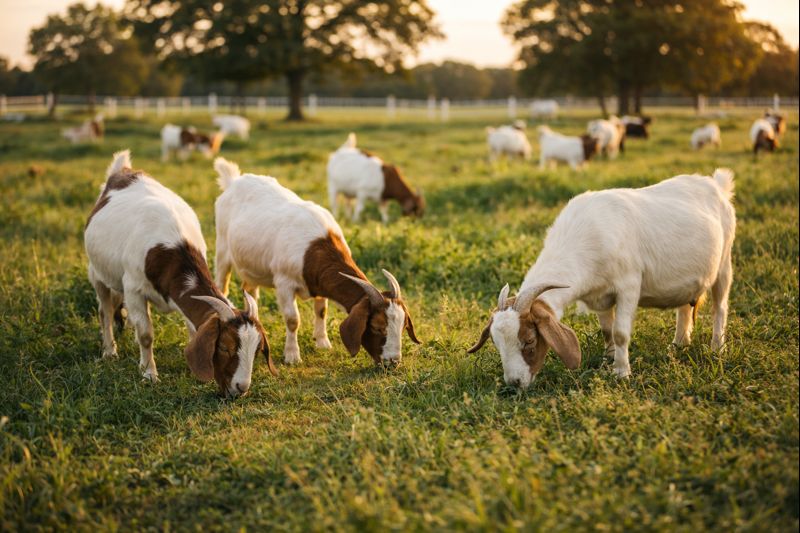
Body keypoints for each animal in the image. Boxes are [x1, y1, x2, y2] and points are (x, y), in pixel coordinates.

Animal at [85, 150, 275, 397]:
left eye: (257, 349)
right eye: (224, 347)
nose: (240, 388)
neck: (172, 248)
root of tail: (123, 170)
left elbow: (192, 329)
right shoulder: (134, 288)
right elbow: (146, 334)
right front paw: (149, 374)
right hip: (96, 271)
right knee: (104, 310)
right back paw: (109, 350)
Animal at [213, 157, 421, 366]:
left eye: (403, 326)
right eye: (378, 327)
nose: (393, 362)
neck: (315, 248)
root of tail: (234, 180)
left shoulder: (320, 282)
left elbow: (321, 310)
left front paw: (323, 343)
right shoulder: (284, 283)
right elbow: (293, 320)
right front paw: (292, 355)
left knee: (250, 291)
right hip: (222, 249)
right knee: (222, 285)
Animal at [468, 169, 736, 388]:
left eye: (530, 341)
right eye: (496, 344)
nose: (514, 383)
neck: (586, 238)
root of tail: (717, 183)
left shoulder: (629, 285)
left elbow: (620, 332)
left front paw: (621, 372)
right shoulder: (599, 296)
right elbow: (607, 330)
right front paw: (609, 359)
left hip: (724, 263)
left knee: (719, 307)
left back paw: (717, 348)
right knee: (684, 308)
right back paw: (678, 344)